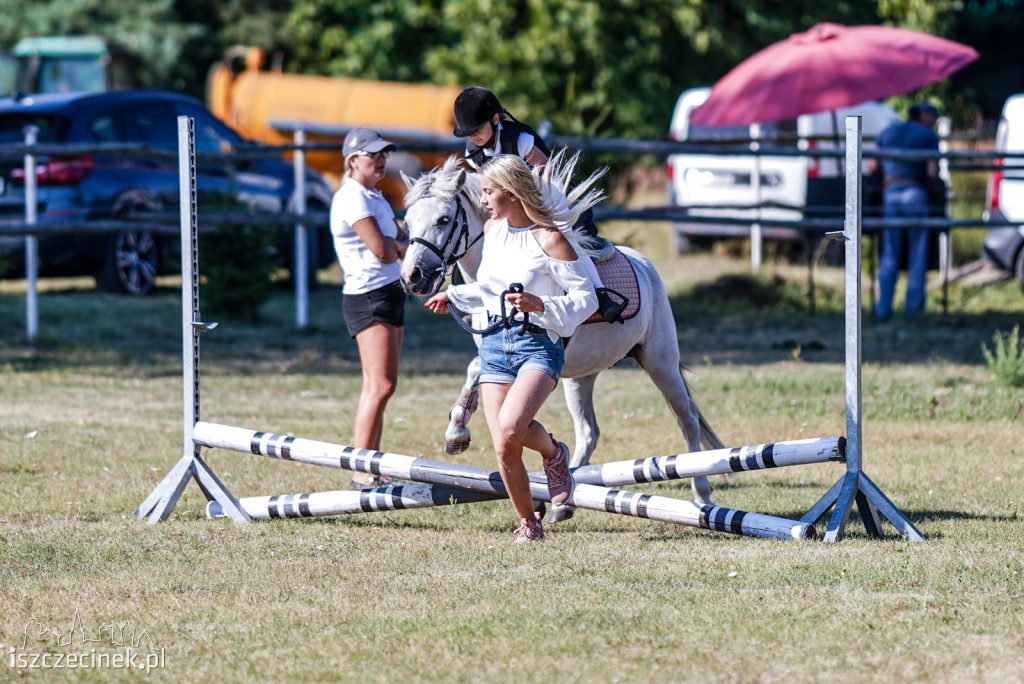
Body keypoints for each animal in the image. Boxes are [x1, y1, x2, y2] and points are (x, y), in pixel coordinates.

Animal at [395, 157, 724, 524]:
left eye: (443, 219)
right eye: (408, 221)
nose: (411, 278)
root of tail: (644, 264)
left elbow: (476, 369)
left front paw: (457, 434)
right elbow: (481, 378)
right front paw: (461, 433)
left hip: (660, 362)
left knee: (687, 419)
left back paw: (702, 494)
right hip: (581, 376)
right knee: (589, 431)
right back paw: (564, 500)